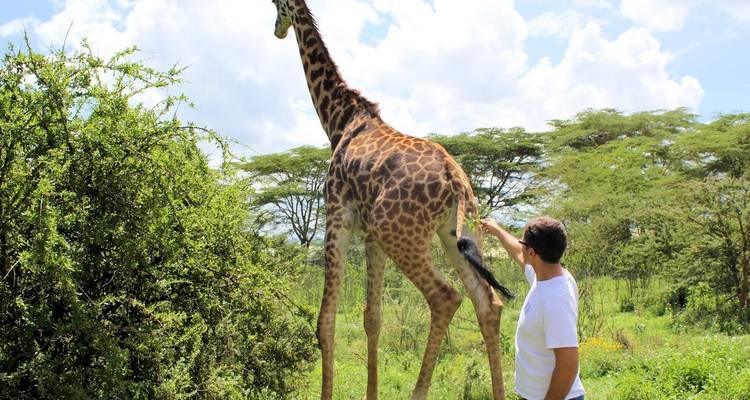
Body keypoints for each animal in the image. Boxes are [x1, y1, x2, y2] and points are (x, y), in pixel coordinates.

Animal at [270, 1, 514, 399]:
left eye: (275, 7)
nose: (277, 30)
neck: (340, 119)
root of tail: (454, 179)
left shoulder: (337, 217)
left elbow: (326, 320)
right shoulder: (370, 237)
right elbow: (373, 318)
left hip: (398, 233)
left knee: (446, 297)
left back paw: (419, 391)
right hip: (456, 233)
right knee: (487, 303)